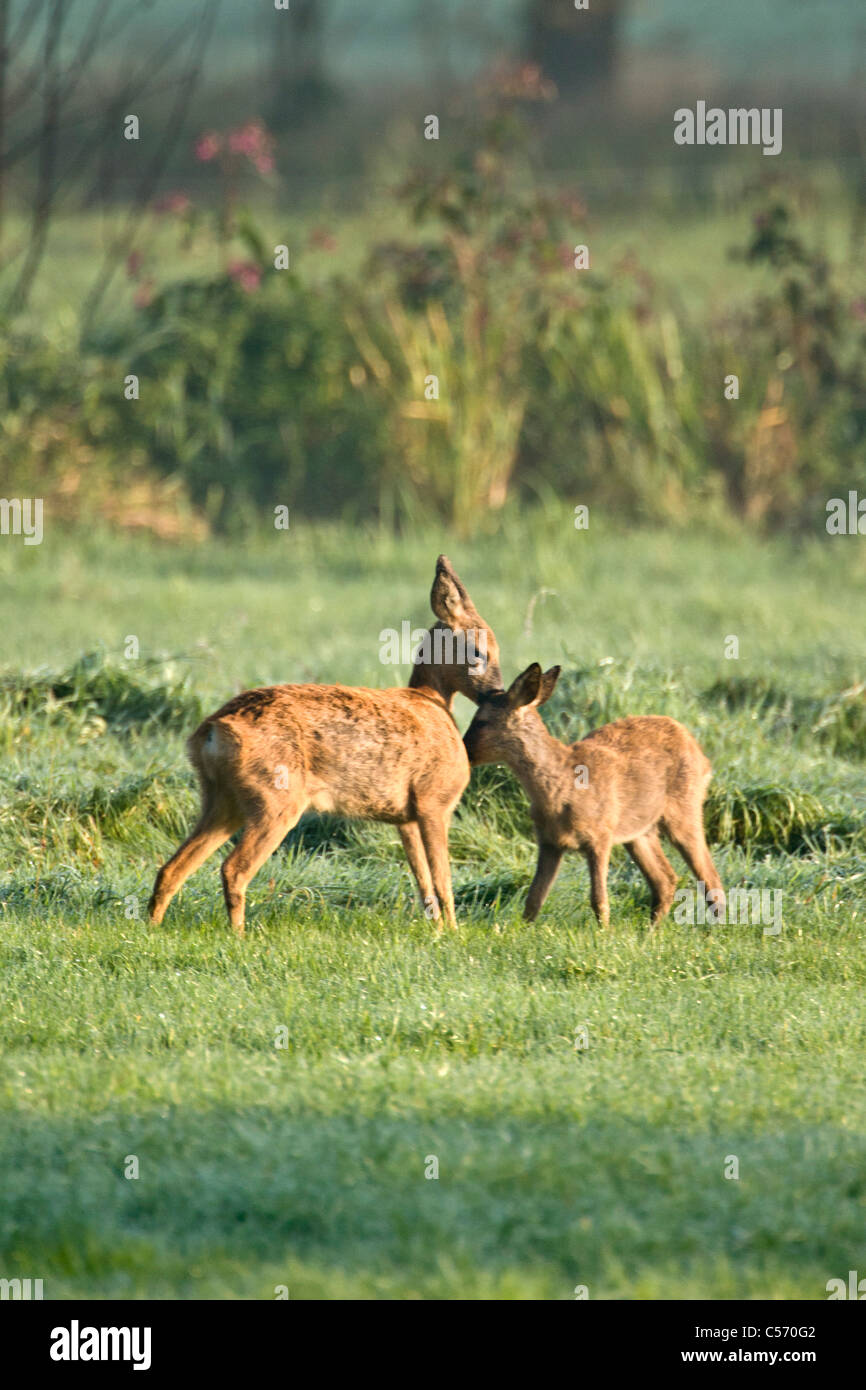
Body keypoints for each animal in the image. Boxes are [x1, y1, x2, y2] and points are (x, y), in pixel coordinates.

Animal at [148, 557, 503, 935]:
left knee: (172, 868)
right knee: (234, 869)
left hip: (221, 800)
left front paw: (435, 927)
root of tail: (214, 731)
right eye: (479, 652)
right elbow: (442, 878)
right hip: (276, 800)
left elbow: (423, 879)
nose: (496, 694)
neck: (432, 700)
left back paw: (153, 925)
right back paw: (239, 935)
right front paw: (453, 931)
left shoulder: (406, 818)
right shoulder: (434, 803)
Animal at [463, 663, 725, 927]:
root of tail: (701, 754)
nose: (464, 751)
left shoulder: (600, 835)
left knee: (710, 877)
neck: (562, 790)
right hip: (639, 831)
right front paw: (525, 929)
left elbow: (598, 899)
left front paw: (604, 933)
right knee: (666, 880)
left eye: (481, 721)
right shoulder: (549, 841)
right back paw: (651, 931)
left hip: (685, 810)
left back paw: (716, 930)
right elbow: (534, 898)